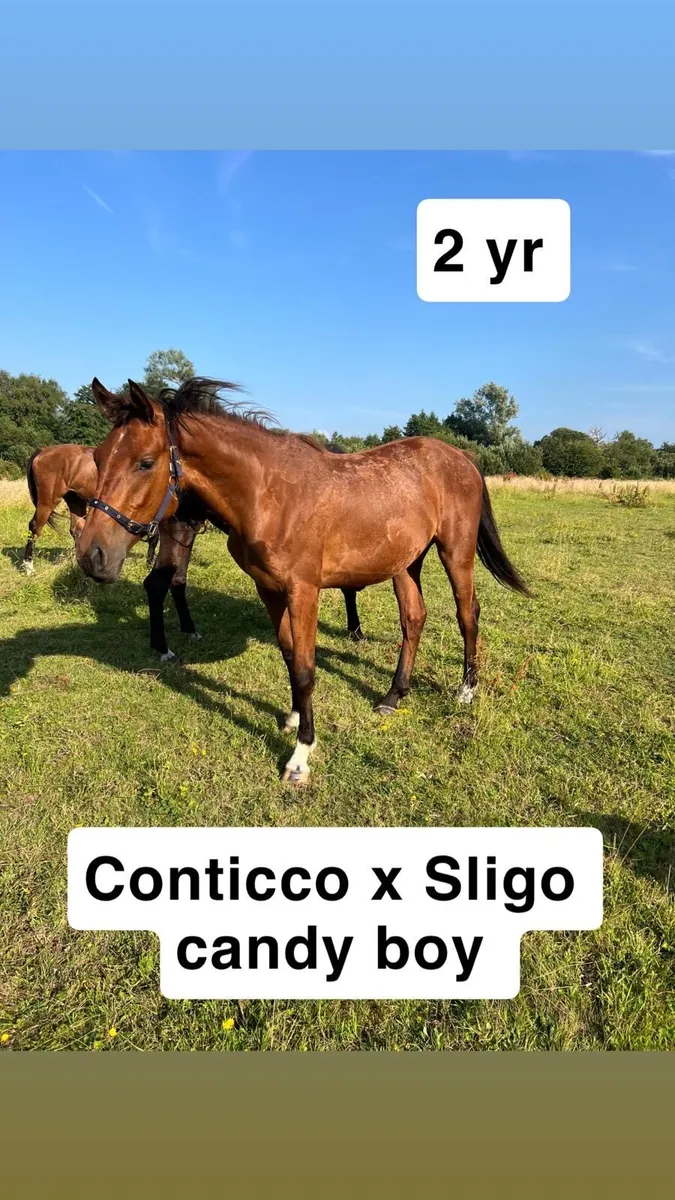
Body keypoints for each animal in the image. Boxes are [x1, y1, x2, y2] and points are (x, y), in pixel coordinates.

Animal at [77, 377, 532, 786]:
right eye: (99, 458)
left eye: (145, 462)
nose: (92, 556)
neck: (269, 494)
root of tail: (461, 456)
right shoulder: (269, 590)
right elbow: (288, 655)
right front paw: (294, 716)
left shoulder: (303, 591)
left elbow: (305, 667)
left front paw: (300, 756)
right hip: (406, 562)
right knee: (414, 619)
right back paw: (392, 696)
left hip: (455, 553)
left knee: (467, 614)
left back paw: (466, 691)